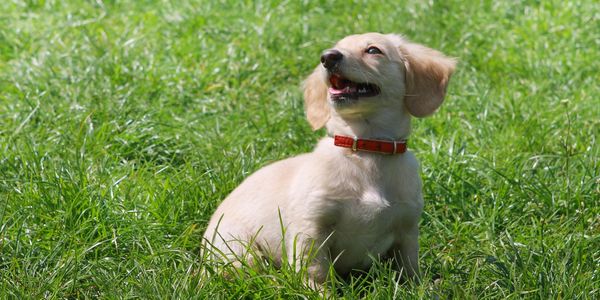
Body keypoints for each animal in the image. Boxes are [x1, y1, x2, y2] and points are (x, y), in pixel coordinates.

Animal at [202, 32, 454, 286]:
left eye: (373, 50)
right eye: (335, 48)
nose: (327, 57)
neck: (366, 149)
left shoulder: (407, 229)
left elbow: (410, 270)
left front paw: (422, 288)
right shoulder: (312, 227)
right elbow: (315, 270)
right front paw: (318, 291)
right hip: (240, 250)